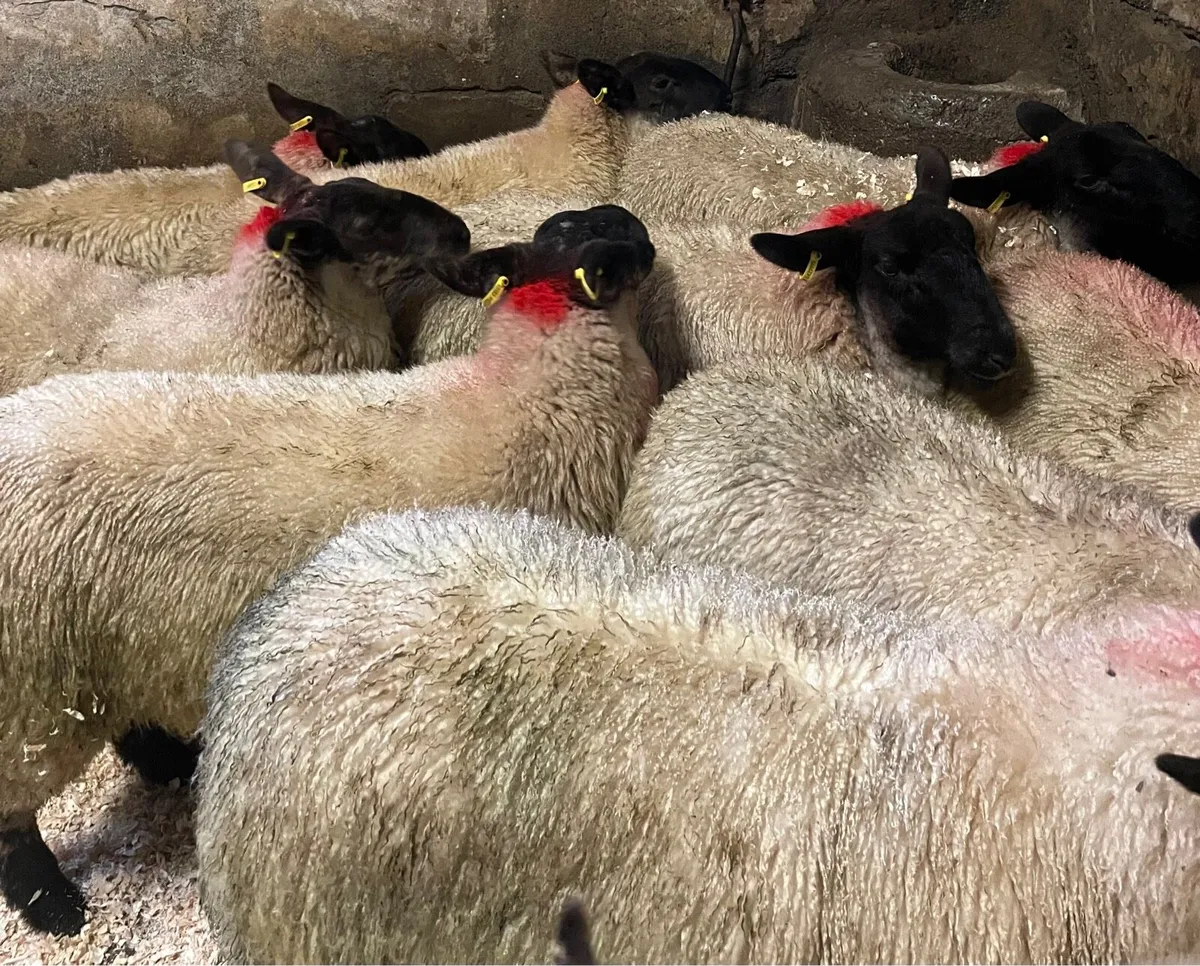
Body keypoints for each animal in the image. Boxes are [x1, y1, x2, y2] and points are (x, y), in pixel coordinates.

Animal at [0, 223, 657, 937]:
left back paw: (169, 767)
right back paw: (55, 908)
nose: (648, 239)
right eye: (613, 250)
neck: (522, 391)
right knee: (14, 821)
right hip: (31, 698)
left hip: (111, 653)